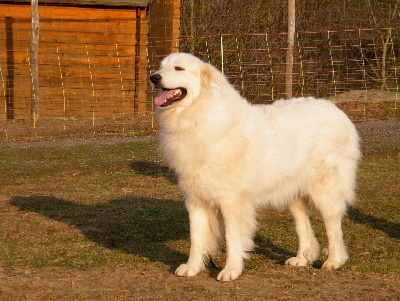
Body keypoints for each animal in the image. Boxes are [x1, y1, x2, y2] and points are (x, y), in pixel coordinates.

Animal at [149, 52, 360, 280]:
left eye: (179, 68)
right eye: (161, 67)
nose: (154, 77)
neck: (199, 116)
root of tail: (335, 109)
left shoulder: (232, 201)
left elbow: (233, 238)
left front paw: (231, 270)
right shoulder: (195, 199)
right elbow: (196, 239)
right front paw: (192, 267)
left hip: (325, 190)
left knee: (333, 225)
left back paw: (334, 260)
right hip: (293, 192)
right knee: (302, 223)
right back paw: (302, 258)